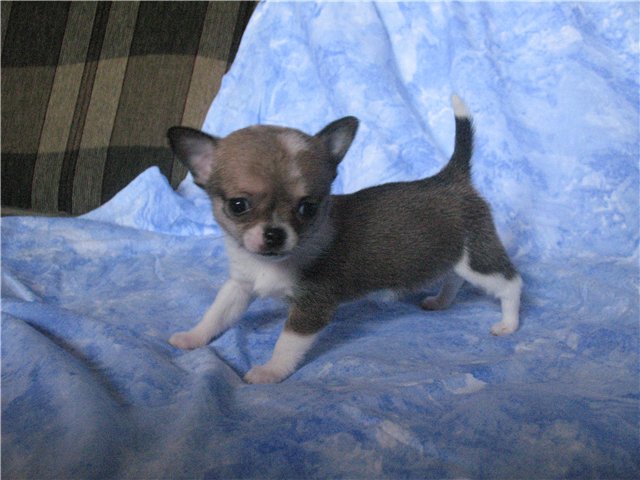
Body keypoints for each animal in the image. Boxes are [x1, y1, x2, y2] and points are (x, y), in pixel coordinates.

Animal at [166, 95, 522, 384]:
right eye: (238, 205)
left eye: (308, 208)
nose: (274, 234)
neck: (273, 264)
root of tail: (450, 178)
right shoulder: (240, 285)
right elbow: (217, 313)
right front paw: (192, 337)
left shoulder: (313, 305)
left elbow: (286, 343)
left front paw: (271, 372)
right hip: (451, 256)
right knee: (454, 277)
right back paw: (441, 301)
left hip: (477, 257)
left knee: (510, 282)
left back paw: (508, 323)